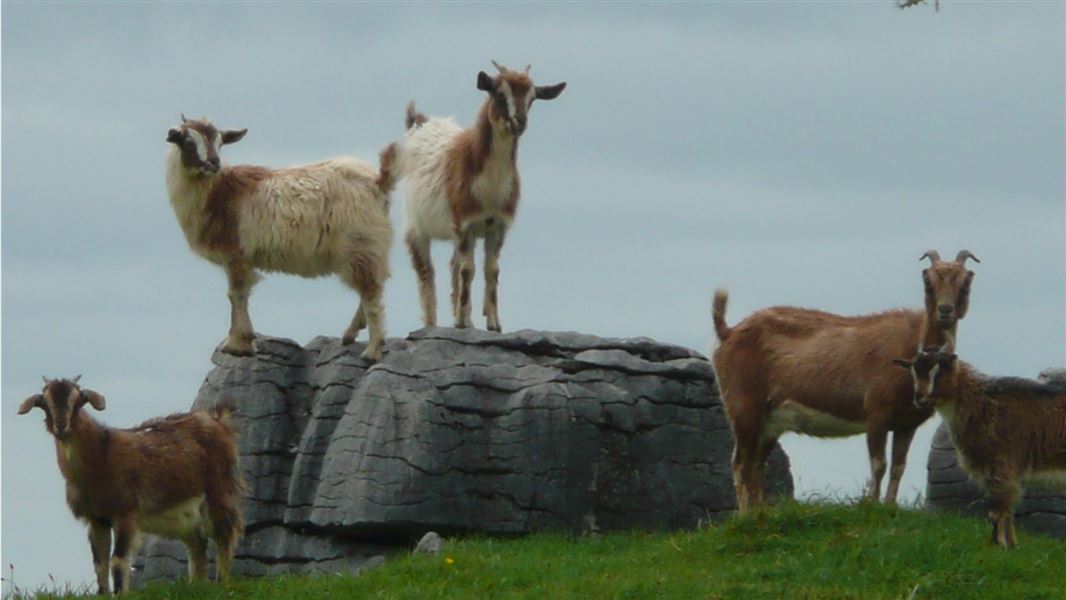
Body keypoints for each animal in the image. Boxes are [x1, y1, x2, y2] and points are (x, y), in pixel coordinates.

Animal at [19, 377, 244, 592]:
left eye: (78, 400)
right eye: (44, 402)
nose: (61, 425)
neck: (101, 454)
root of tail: (219, 422)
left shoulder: (125, 513)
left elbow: (118, 561)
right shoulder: (97, 519)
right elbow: (100, 564)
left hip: (219, 493)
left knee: (224, 536)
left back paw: (222, 584)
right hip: (186, 515)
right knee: (197, 544)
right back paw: (196, 585)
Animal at [392, 60, 567, 330]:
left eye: (533, 97)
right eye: (498, 93)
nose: (519, 122)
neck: (490, 189)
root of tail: (419, 122)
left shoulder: (497, 226)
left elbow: (490, 271)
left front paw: (493, 323)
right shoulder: (465, 224)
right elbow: (468, 271)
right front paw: (462, 321)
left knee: (452, 266)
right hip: (416, 224)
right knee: (426, 272)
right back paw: (432, 323)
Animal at [712, 249, 976, 511]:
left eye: (966, 282)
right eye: (927, 281)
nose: (945, 311)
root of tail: (729, 332)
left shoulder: (906, 423)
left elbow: (898, 467)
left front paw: (890, 506)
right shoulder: (876, 413)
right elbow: (879, 464)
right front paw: (872, 505)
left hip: (770, 421)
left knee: (756, 464)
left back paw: (762, 511)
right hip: (744, 407)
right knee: (741, 464)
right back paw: (746, 514)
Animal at [895, 347, 1066, 549]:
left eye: (938, 371)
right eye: (913, 372)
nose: (920, 398)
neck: (982, 403)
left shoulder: (1000, 466)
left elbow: (997, 512)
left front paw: (999, 546)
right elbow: (1008, 512)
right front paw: (1011, 546)